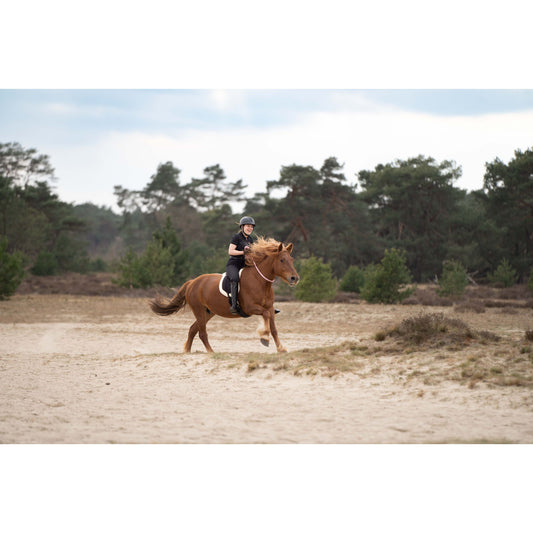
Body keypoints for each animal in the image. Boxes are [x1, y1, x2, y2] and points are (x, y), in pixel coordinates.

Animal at [149, 238, 300, 354]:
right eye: (282, 260)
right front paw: (264, 338)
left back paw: (187, 350)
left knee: (192, 329)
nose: (295, 278)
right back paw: (211, 352)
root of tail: (192, 282)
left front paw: (280, 348)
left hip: (208, 312)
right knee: (202, 333)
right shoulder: (251, 308)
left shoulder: (269, 308)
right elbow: (266, 317)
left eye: (291, 259)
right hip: (199, 310)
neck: (260, 281)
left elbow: (274, 328)